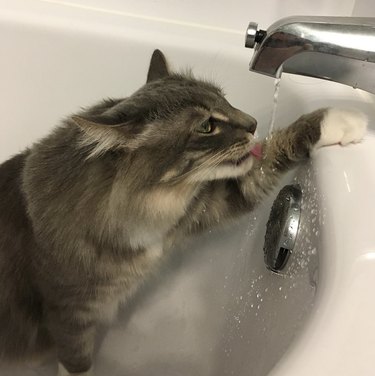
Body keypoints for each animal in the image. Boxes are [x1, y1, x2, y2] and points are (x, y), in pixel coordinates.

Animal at [0, 50, 368, 376]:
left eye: (224, 98)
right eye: (206, 126)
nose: (253, 124)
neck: (149, 208)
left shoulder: (209, 204)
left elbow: (276, 147)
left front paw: (343, 120)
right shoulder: (68, 312)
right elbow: (76, 362)